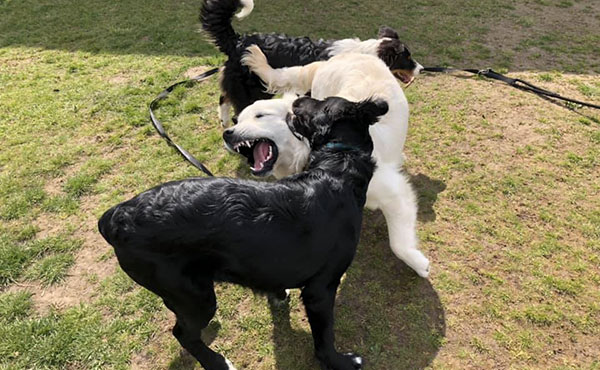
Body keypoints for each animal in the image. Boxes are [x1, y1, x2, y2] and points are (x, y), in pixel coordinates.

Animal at [199, 0, 420, 125]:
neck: (367, 53)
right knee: (237, 109)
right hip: (252, 90)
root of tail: (237, 40)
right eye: (407, 58)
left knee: (224, 98)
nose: (420, 68)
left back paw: (224, 122)